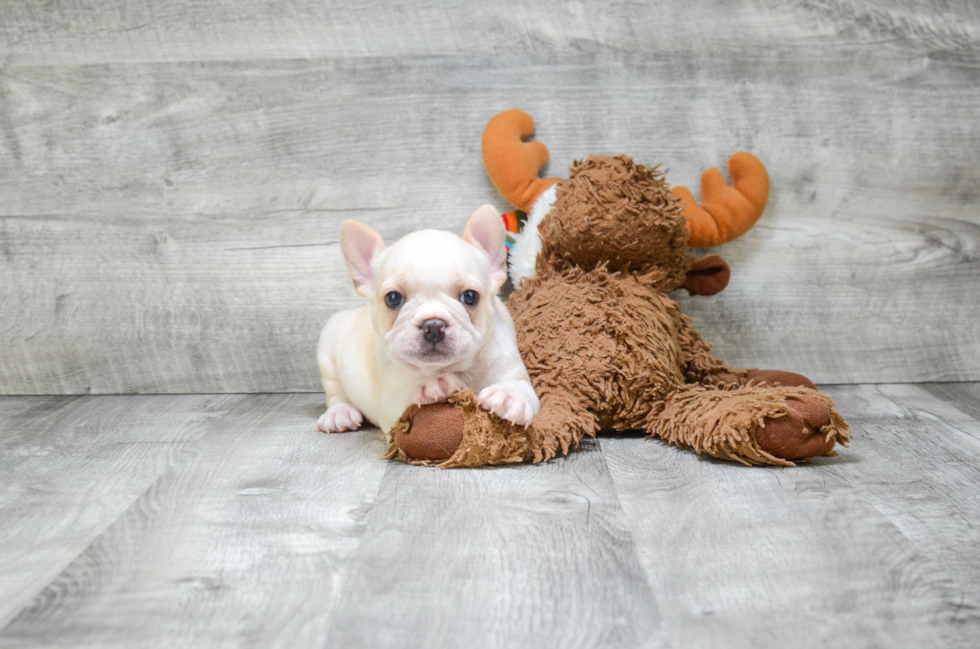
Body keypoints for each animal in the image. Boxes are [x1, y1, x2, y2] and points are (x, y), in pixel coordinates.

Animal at [316, 206, 540, 436]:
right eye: (393, 298)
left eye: (470, 296)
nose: (433, 325)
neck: (453, 368)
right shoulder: (389, 405)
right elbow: (405, 396)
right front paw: (433, 384)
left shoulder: (510, 367)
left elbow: (521, 385)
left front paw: (509, 396)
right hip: (328, 352)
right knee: (336, 393)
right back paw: (339, 414)